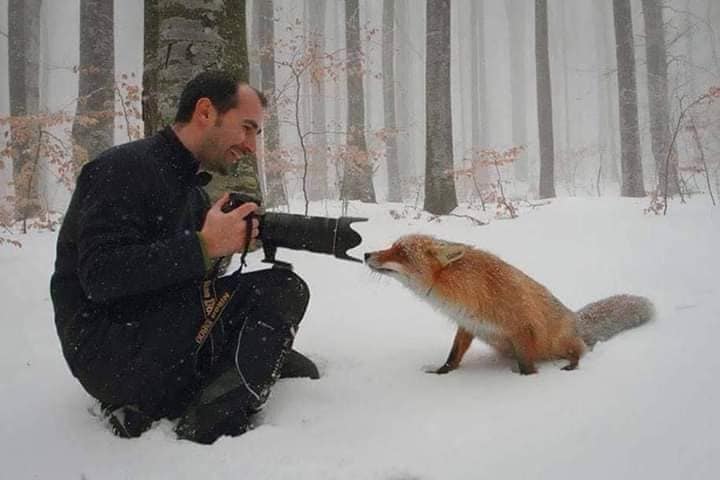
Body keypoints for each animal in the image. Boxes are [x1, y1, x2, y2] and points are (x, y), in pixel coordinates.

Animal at [366, 235, 652, 376]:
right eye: (392, 246)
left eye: (401, 253)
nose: (366, 254)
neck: (466, 289)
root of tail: (576, 319)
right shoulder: (467, 324)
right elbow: (453, 356)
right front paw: (441, 373)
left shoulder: (522, 327)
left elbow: (527, 367)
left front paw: (525, 381)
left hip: (560, 343)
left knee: (580, 351)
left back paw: (571, 366)